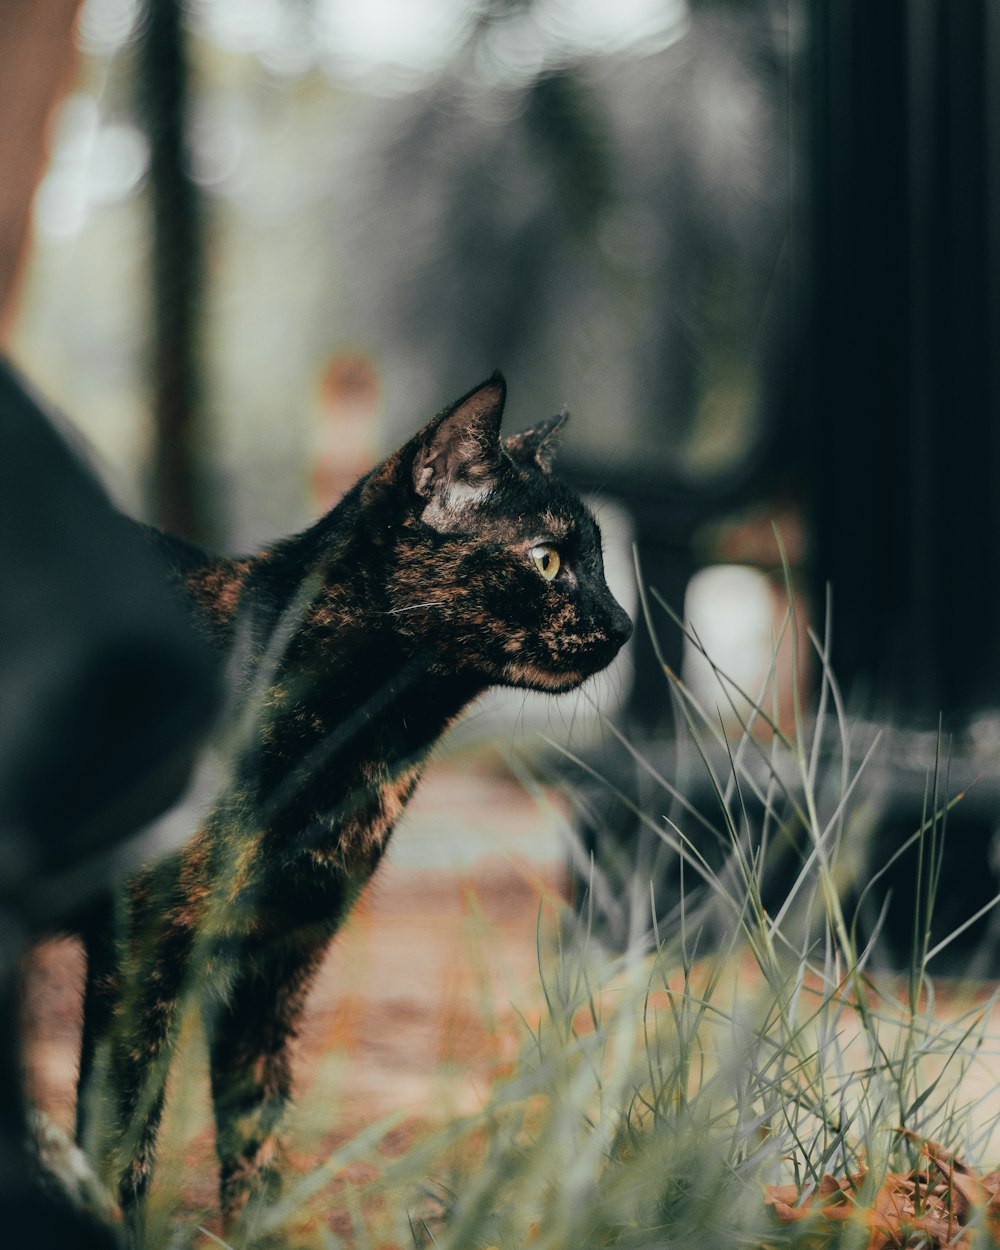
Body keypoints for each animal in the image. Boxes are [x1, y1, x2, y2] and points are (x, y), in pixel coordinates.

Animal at [76, 370, 632, 1230]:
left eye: (602, 563)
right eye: (545, 560)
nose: (623, 624)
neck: (367, 748)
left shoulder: (279, 959)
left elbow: (257, 1131)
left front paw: (261, 1231)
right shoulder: (143, 953)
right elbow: (121, 1143)